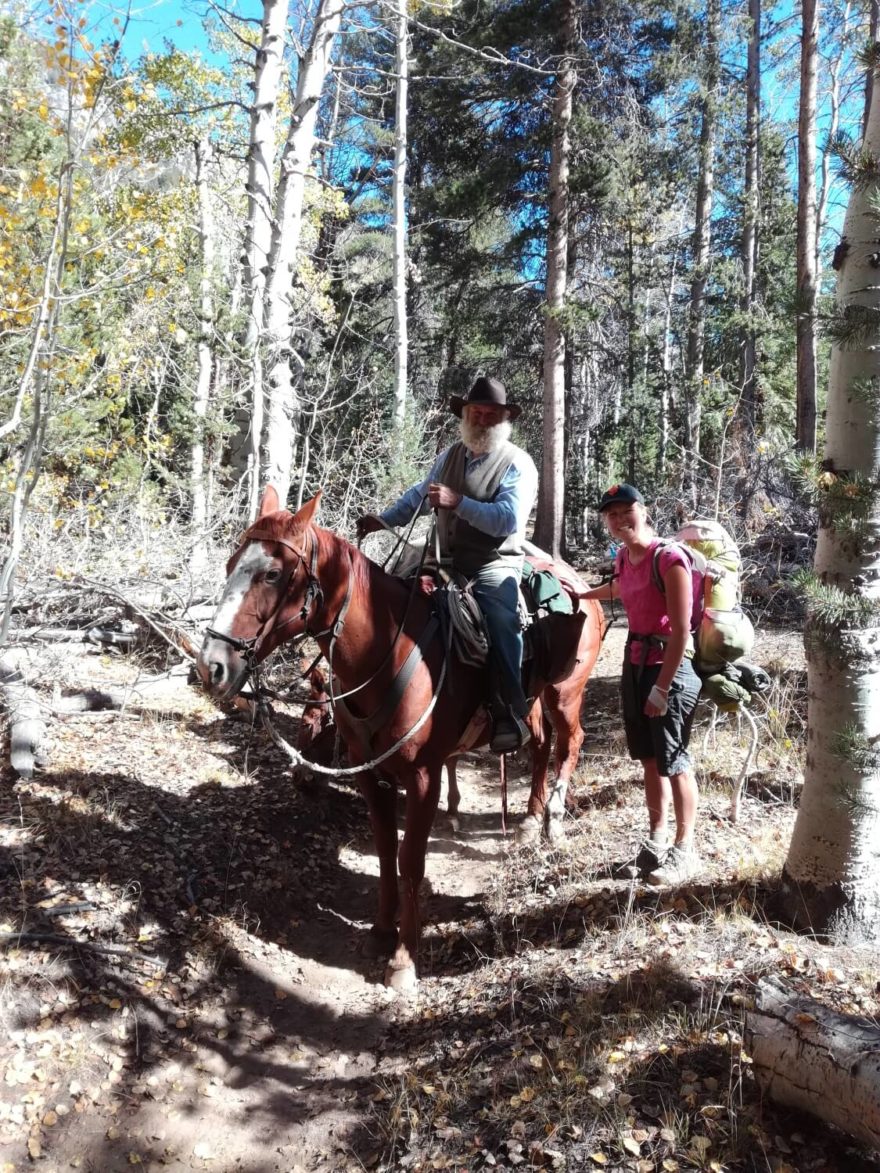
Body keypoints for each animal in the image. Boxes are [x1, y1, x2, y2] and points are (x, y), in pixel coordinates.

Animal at [195, 490, 605, 994]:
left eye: (272, 573)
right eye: (231, 563)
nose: (211, 665)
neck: (386, 651)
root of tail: (578, 586)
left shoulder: (424, 776)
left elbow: (411, 860)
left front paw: (404, 960)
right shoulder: (373, 775)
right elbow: (387, 852)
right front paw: (380, 932)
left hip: (566, 692)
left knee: (570, 741)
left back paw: (554, 819)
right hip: (527, 698)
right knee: (541, 743)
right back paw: (529, 818)